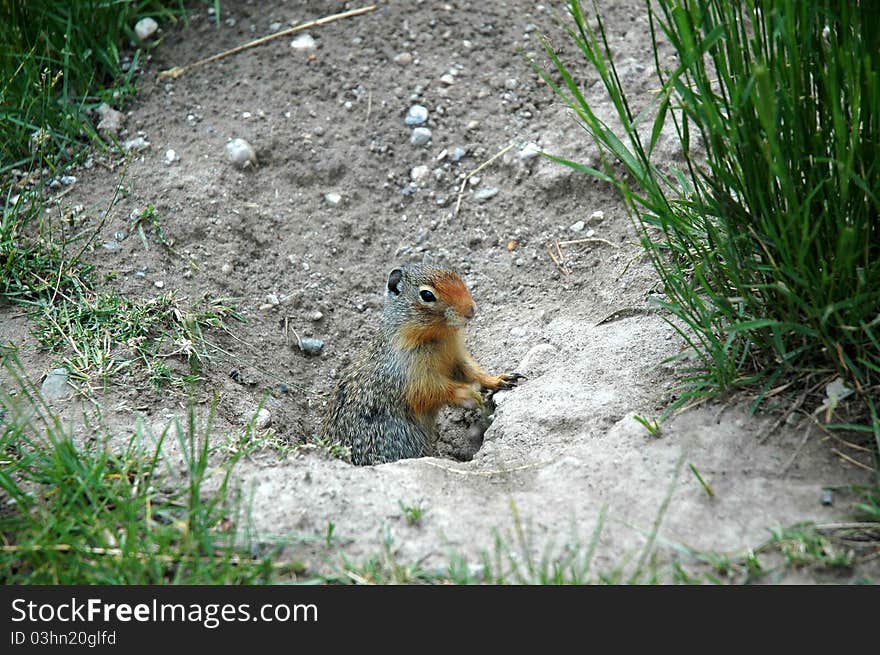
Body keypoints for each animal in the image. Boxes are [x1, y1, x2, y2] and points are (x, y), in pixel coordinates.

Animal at [322, 262, 524, 466]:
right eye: (427, 295)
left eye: (456, 276)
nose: (471, 310)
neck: (436, 337)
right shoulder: (412, 375)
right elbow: (433, 390)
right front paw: (469, 395)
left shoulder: (457, 358)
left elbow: (473, 372)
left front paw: (500, 380)